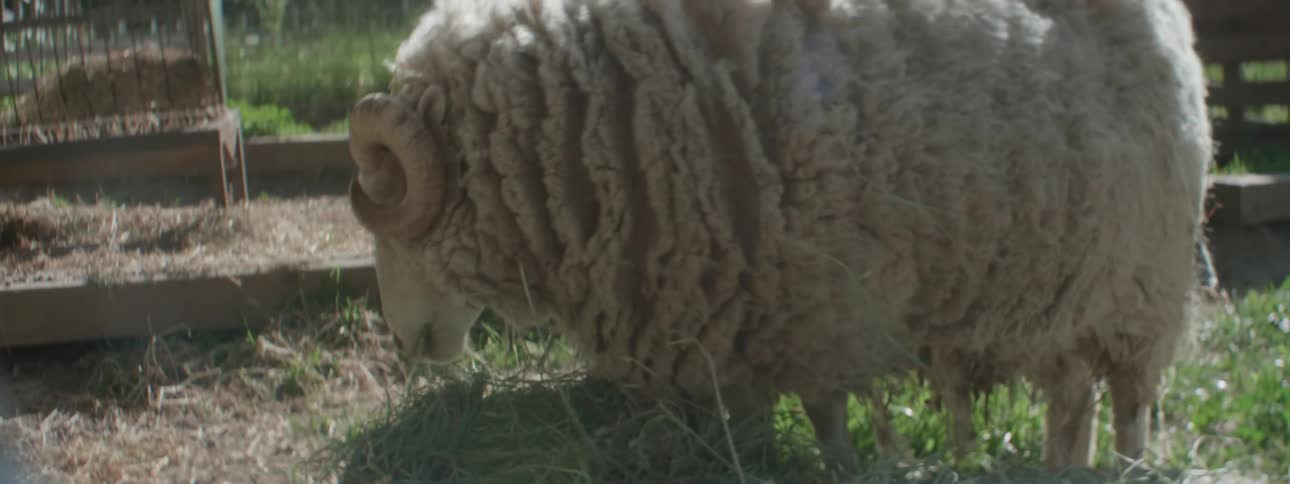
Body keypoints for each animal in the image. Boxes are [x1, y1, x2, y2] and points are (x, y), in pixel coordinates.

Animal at [345, 0, 1213, 475]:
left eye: (390, 206)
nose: (406, 343)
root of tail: (1175, 25)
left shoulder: (818, 302)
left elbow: (827, 416)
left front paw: (844, 465)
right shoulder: (751, 312)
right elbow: (775, 415)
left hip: (1142, 288)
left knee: (1130, 408)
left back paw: (1123, 471)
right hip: (1066, 293)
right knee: (1073, 399)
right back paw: (1064, 472)